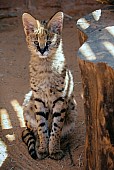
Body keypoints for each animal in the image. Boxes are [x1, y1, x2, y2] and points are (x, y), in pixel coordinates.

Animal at [21, 11, 77, 159]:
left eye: (49, 42)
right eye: (36, 42)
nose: (41, 50)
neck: (45, 65)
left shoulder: (60, 100)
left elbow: (56, 128)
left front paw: (54, 150)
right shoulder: (38, 99)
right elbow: (42, 127)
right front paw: (43, 148)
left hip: (72, 108)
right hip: (28, 102)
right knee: (32, 130)